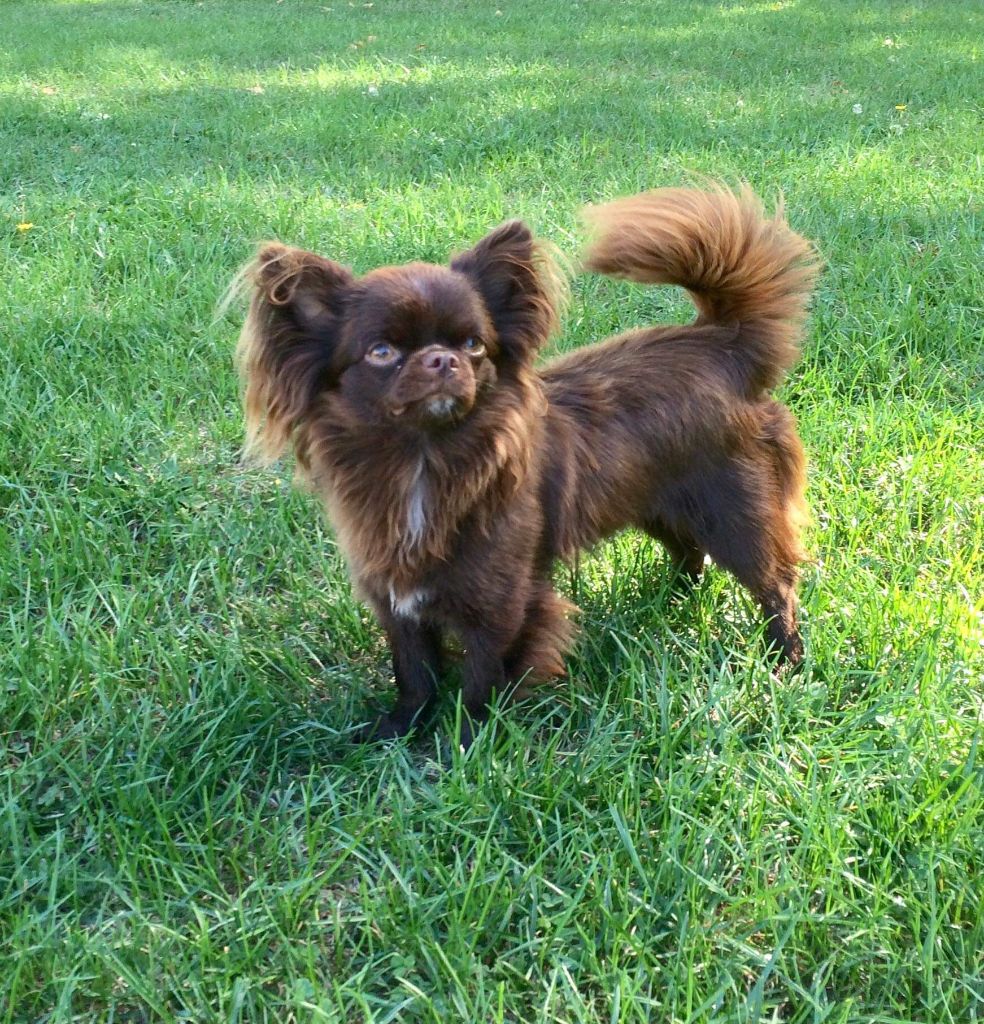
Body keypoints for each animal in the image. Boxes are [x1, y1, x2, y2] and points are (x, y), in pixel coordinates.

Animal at [232, 185, 819, 745]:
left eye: (473, 345)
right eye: (380, 352)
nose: (441, 358)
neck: (424, 460)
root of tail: (724, 345)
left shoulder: (500, 606)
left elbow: (481, 678)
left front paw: (466, 744)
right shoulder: (397, 602)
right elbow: (415, 673)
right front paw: (398, 730)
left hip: (734, 512)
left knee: (774, 585)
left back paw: (784, 662)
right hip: (657, 500)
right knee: (689, 554)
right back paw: (663, 601)